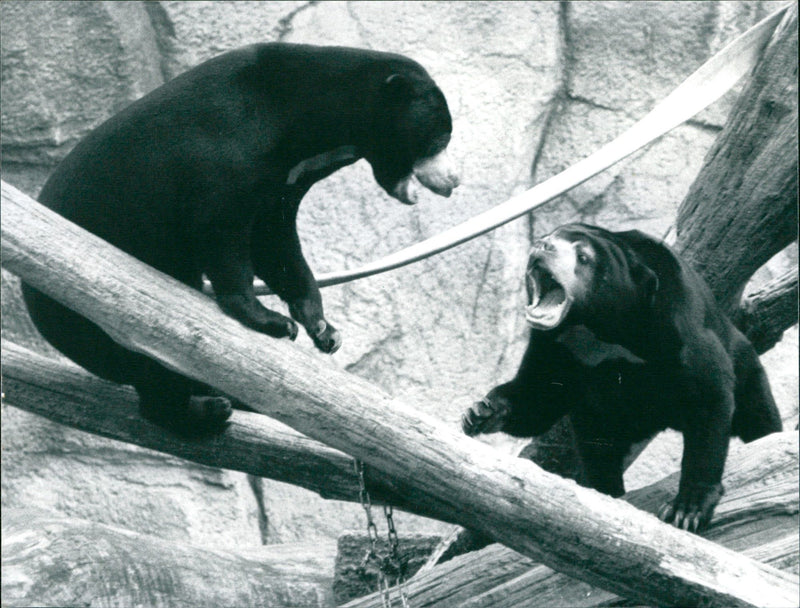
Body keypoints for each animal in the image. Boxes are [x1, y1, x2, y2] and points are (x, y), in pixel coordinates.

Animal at [22, 43, 459, 436]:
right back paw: (208, 413)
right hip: (81, 312)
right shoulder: (226, 155)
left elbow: (276, 244)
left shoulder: (283, 183)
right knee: (147, 370)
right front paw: (273, 322)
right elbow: (223, 234)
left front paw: (324, 329)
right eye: (439, 139)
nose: (454, 180)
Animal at [461, 223, 782, 532]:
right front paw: (479, 412)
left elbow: (708, 398)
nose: (542, 245)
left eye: (583, 257)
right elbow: (538, 395)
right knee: (598, 446)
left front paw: (686, 510)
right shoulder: (557, 343)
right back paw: (606, 491)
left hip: (745, 366)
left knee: (759, 418)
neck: (600, 327)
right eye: (550, 236)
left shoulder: (679, 325)